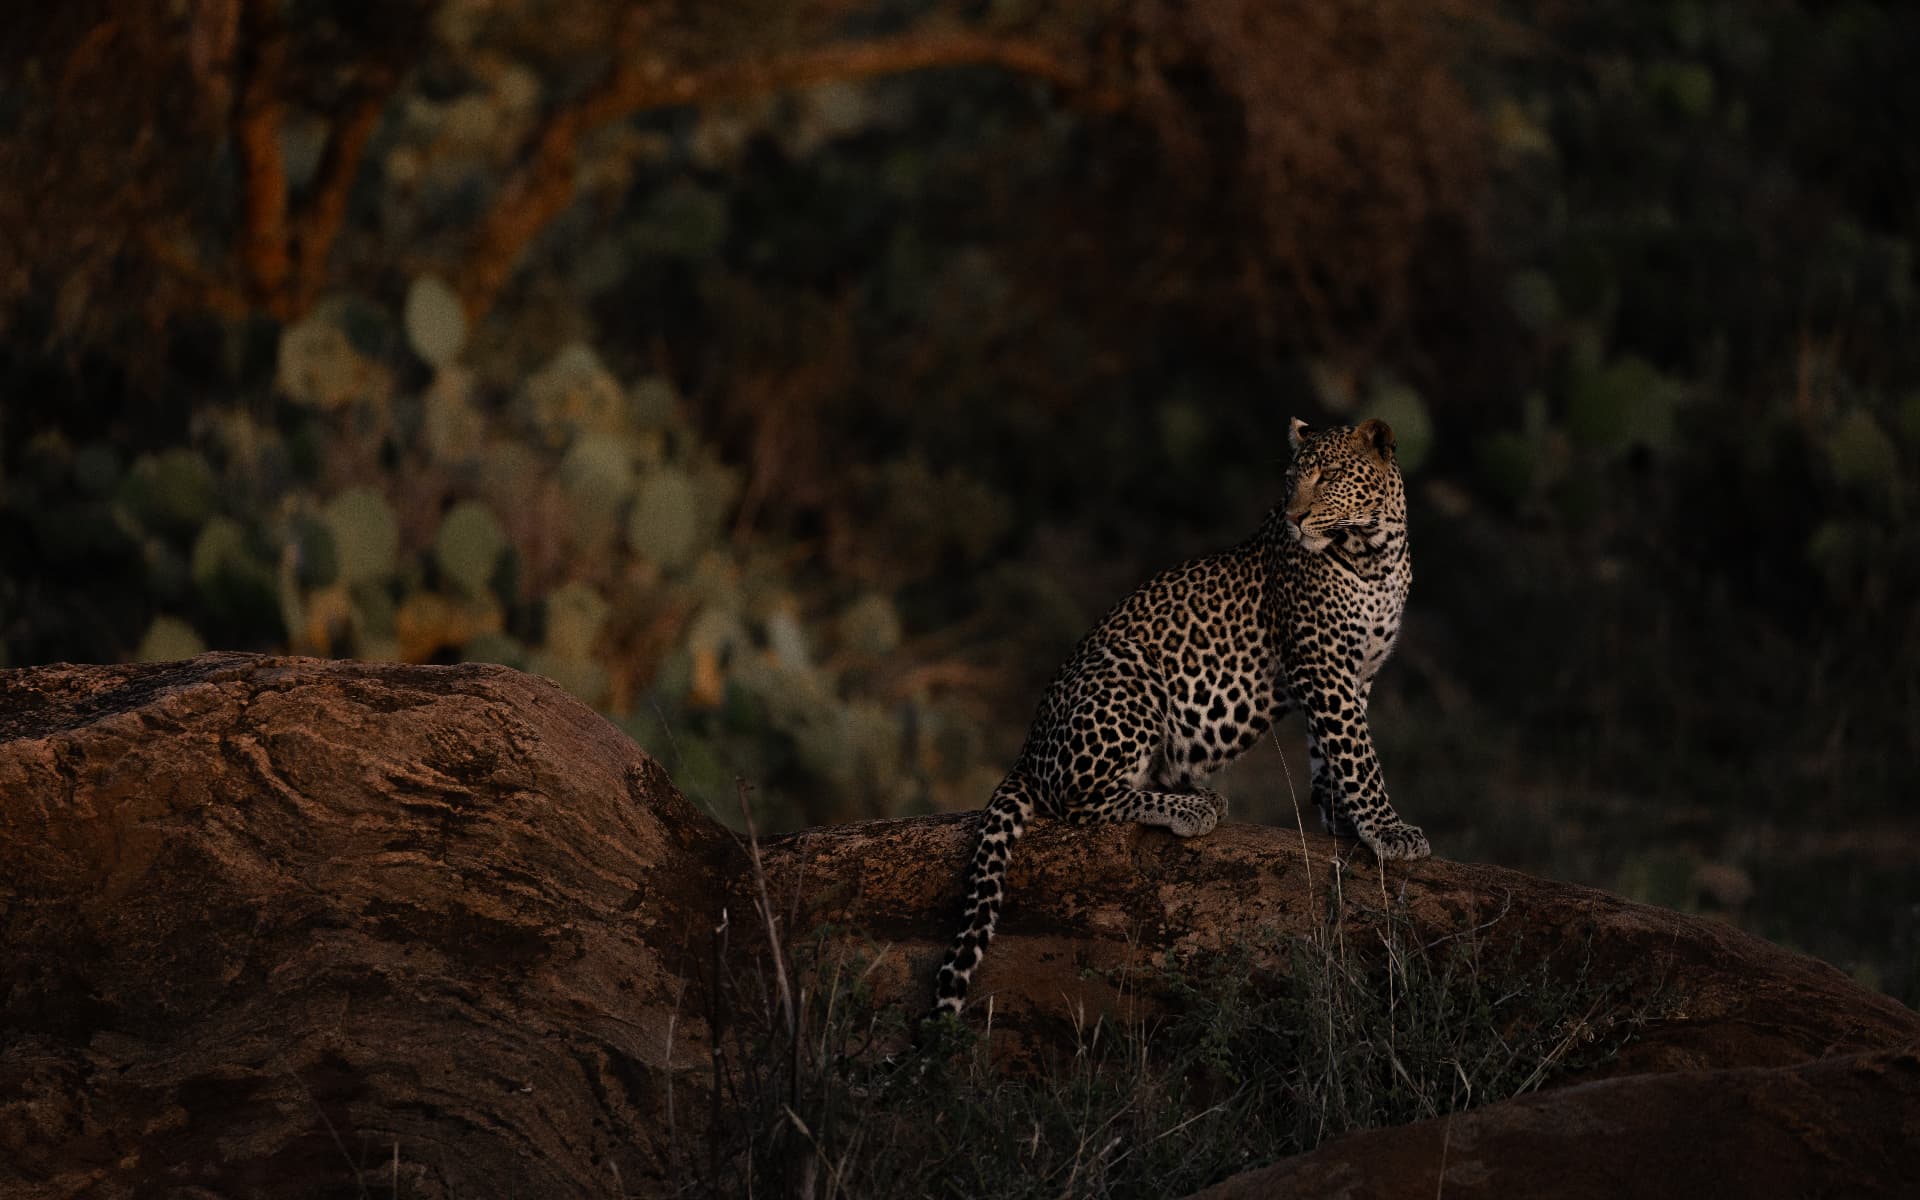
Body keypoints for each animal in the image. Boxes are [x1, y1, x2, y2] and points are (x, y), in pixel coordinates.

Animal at [930, 416, 1428, 1019]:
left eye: (1328, 476)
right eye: (1290, 480)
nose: (1295, 517)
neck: (1377, 553)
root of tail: (1027, 751)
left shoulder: (1355, 675)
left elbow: (1333, 754)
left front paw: (1342, 819)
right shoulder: (1324, 667)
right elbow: (1358, 756)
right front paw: (1388, 830)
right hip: (1128, 677)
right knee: (1080, 801)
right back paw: (1191, 808)